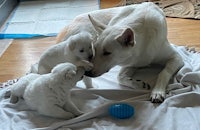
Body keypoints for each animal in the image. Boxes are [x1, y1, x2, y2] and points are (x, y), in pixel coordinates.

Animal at [55, 1, 184, 102]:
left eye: (107, 53)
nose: (88, 72)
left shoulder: (176, 57)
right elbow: (120, 77)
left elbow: (164, 72)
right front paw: (138, 84)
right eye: (94, 49)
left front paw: (157, 91)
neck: (143, 45)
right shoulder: (130, 62)